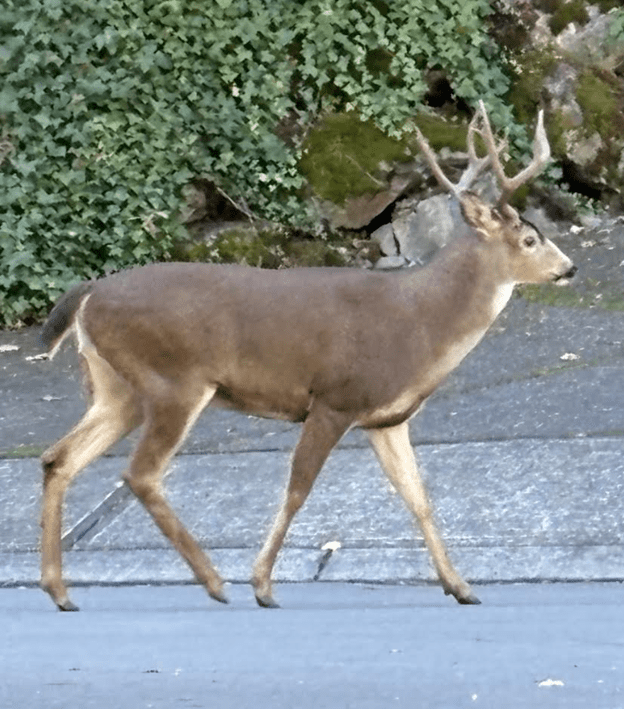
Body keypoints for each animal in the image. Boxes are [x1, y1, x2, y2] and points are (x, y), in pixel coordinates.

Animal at [39, 102, 576, 611]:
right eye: (530, 239)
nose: (569, 267)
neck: (422, 324)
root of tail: (89, 294)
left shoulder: (386, 419)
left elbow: (419, 499)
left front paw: (461, 587)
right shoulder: (334, 399)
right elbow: (297, 490)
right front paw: (261, 584)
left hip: (118, 388)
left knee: (58, 458)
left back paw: (60, 591)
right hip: (175, 380)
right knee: (140, 474)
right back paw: (215, 583)